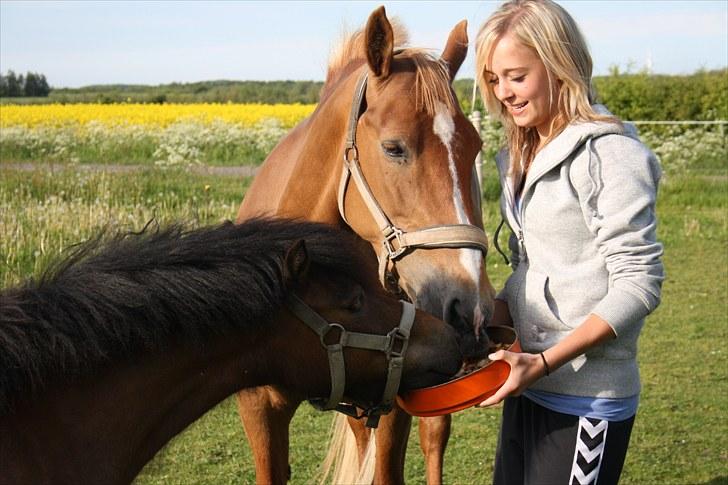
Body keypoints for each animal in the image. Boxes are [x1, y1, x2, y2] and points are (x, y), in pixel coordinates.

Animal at [237, 6, 494, 484]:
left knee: (435, 437)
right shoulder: (259, 407)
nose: (470, 309)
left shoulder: (396, 399)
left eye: (475, 148)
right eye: (393, 148)